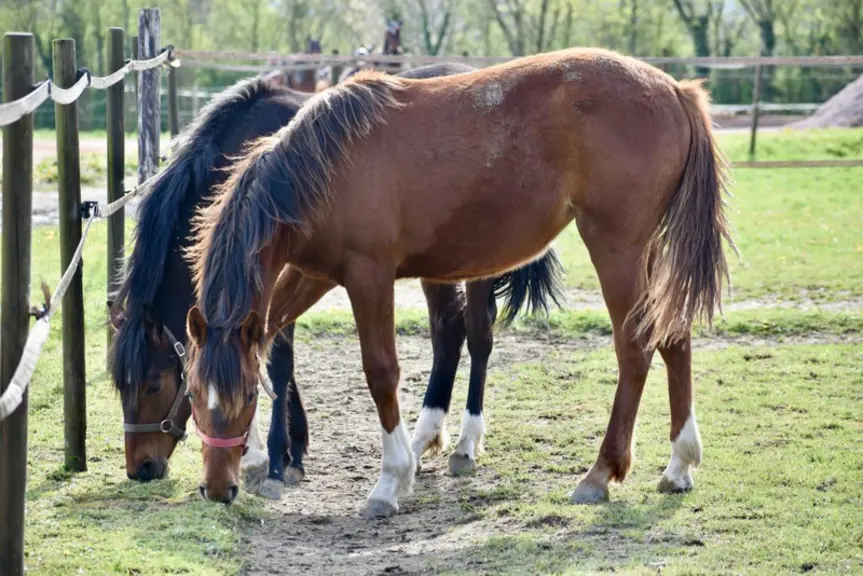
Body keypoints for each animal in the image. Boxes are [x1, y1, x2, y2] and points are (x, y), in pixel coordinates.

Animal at [108, 63, 562, 500]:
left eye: (153, 384)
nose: (140, 468)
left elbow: (278, 363)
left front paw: (276, 458)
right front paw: (278, 451)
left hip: (475, 265)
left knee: (479, 335)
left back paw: (465, 444)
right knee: (447, 332)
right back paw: (424, 438)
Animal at [186, 47, 734, 517]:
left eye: (246, 398)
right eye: (192, 395)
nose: (216, 489)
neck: (323, 168)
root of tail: (676, 90)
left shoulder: (368, 275)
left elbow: (380, 372)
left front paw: (391, 480)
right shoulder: (310, 275)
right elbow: (266, 339)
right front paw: (261, 458)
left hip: (616, 247)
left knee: (635, 345)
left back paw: (600, 473)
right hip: (649, 251)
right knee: (673, 336)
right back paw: (679, 465)